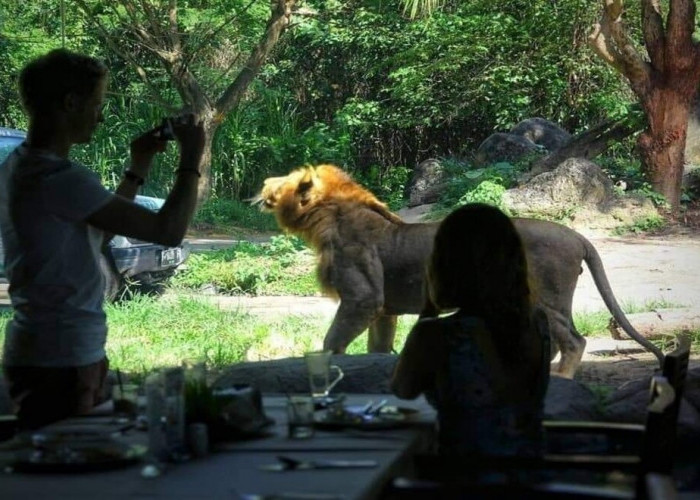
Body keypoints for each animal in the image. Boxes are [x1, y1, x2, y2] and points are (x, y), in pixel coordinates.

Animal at [254, 165, 664, 378]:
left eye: (284, 180)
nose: (263, 183)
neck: (322, 222)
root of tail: (577, 235)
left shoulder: (363, 298)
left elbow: (332, 341)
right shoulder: (384, 309)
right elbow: (378, 347)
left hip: (548, 297)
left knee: (574, 341)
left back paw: (560, 379)